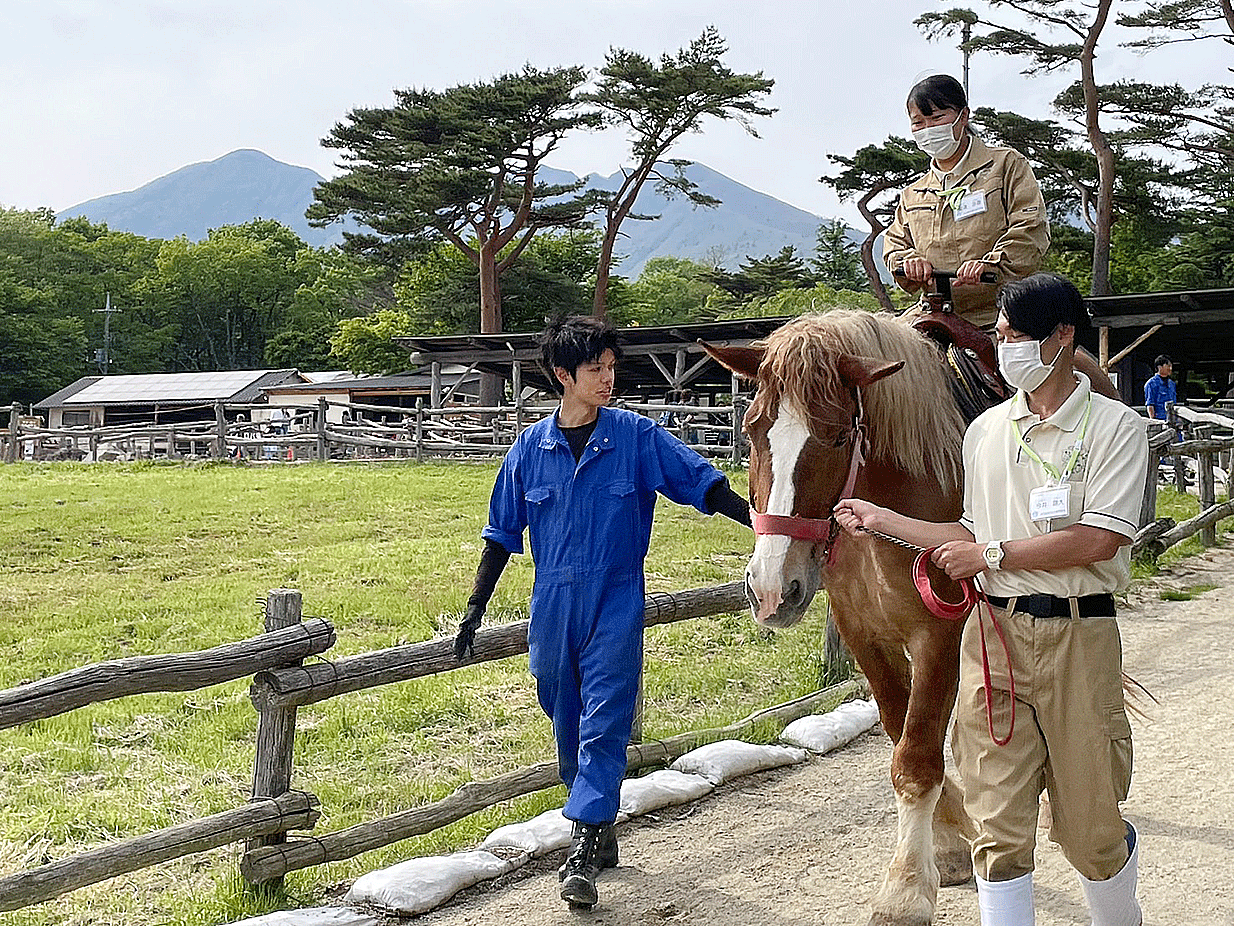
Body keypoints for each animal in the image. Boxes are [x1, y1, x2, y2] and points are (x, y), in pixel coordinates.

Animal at [704, 310, 977, 926]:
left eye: (836, 436)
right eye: (752, 430)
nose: (771, 589)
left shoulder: (938, 632)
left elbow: (917, 756)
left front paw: (905, 890)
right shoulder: (863, 635)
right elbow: (904, 736)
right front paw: (949, 843)